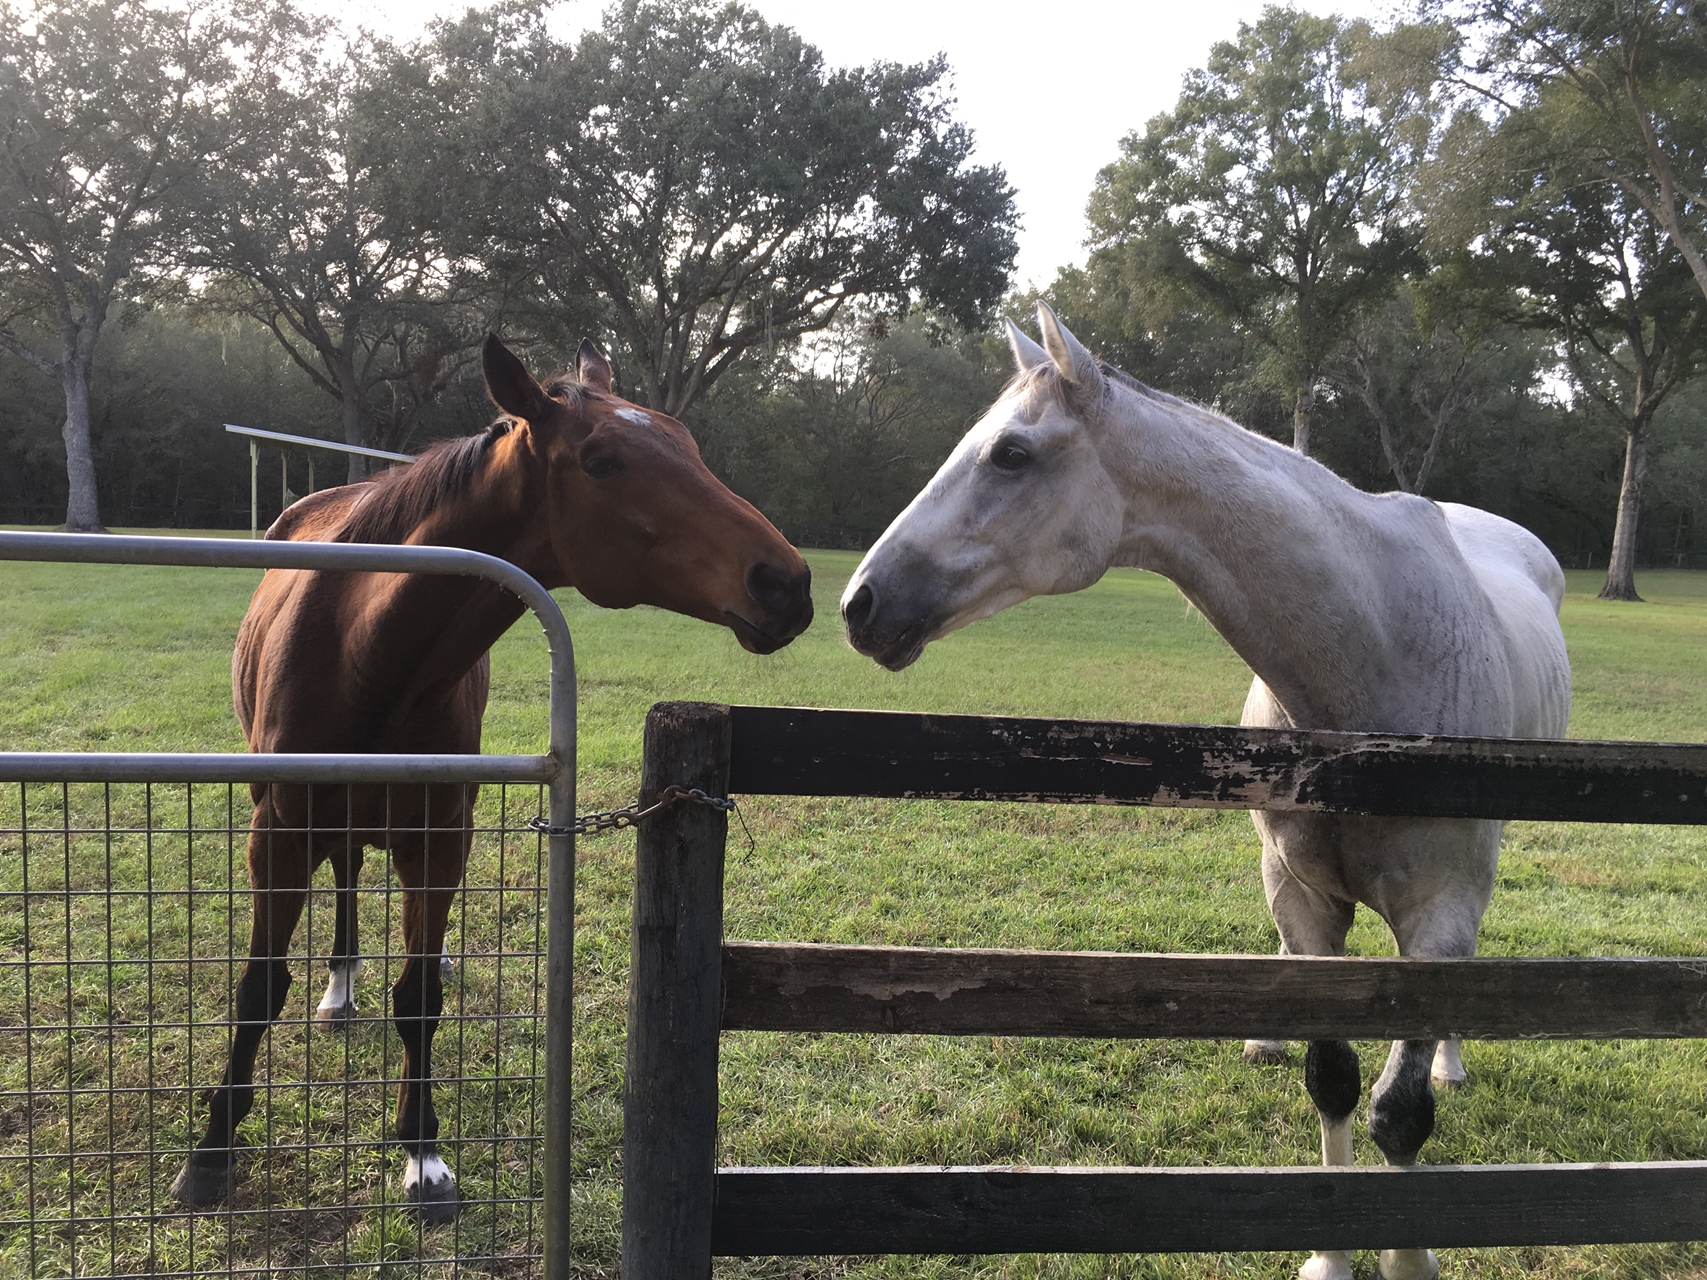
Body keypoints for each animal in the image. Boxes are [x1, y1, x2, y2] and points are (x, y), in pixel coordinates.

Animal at [173, 337, 812, 1221]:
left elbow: (417, 999)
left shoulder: (441, 838)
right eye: (602, 460)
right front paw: (209, 1153)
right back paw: (337, 990)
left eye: (686, 444)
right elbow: (258, 990)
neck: (364, 653)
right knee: (345, 877)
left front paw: (422, 1152)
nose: (784, 583)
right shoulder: (277, 835)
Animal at [839, 303, 1570, 1280]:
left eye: (1011, 454)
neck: (1376, 657)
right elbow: (1333, 1080)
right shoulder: (1302, 899)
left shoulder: (1439, 906)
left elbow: (1400, 1113)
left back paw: (1450, 1059)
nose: (860, 604)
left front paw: (1407, 1258)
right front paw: (1330, 1257)